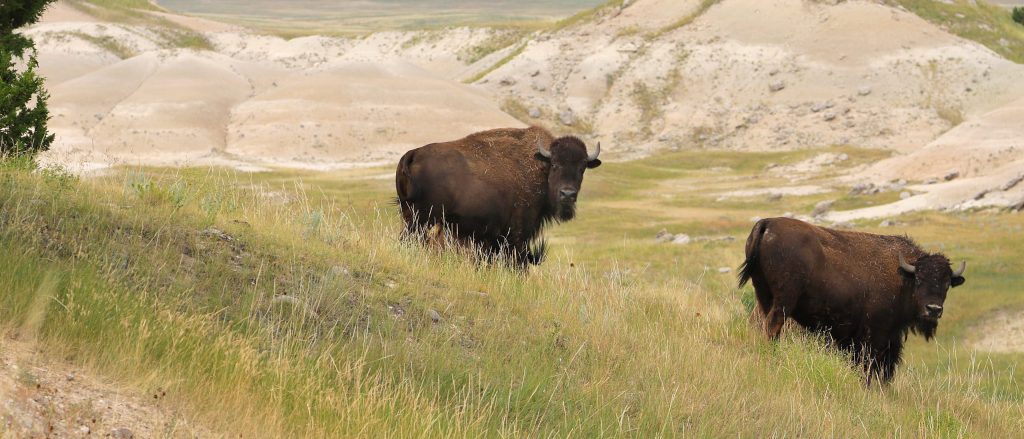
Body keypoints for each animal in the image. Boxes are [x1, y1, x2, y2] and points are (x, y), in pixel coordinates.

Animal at [395, 126, 601, 265]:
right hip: (422, 220)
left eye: (582, 168)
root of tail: (413, 153)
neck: (542, 166)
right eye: (556, 165)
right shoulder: (517, 235)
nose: (568, 194)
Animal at [738, 217, 967, 383]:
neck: (903, 275)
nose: (934, 309)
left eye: (947, 284)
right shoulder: (876, 336)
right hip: (783, 302)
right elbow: (870, 365)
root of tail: (767, 224)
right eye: (919, 279)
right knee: (772, 327)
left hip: (764, 296)